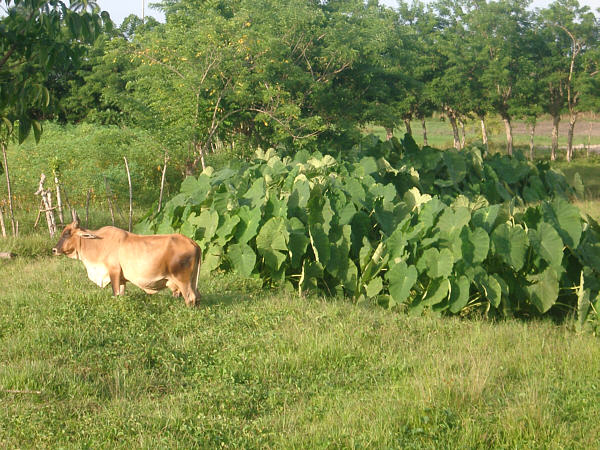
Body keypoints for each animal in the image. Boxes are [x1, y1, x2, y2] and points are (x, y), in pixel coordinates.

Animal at [52, 221, 202, 308]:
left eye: (67, 233)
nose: (54, 250)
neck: (98, 243)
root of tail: (193, 243)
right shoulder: (122, 279)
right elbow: (121, 294)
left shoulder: (113, 272)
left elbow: (115, 293)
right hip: (192, 281)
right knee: (197, 297)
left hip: (183, 280)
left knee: (190, 298)